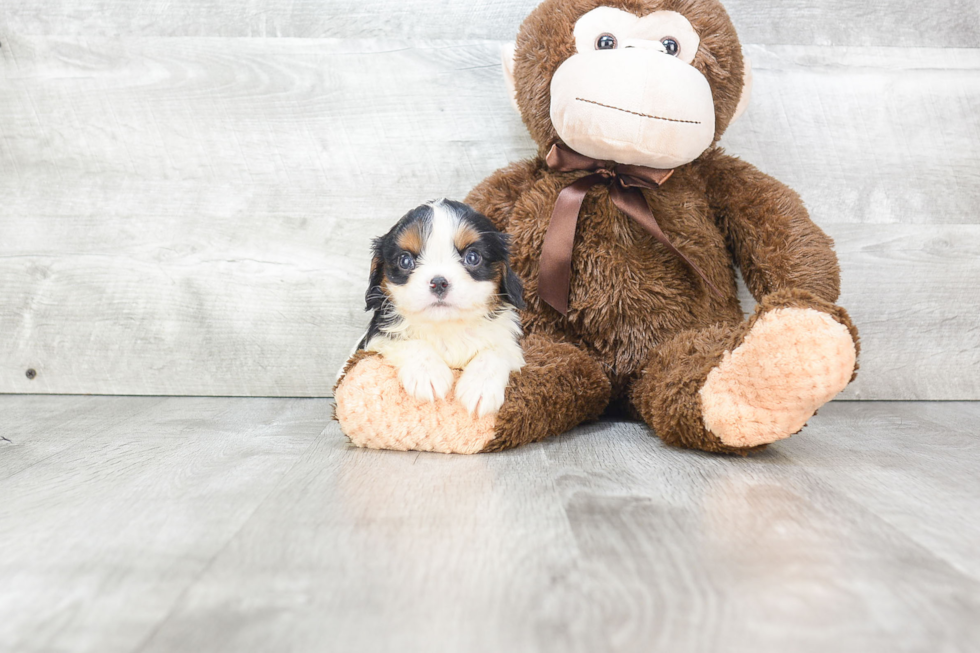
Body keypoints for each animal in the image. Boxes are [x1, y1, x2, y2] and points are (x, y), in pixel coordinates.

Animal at [360, 196, 528, 416]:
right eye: (405, 261)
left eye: (473, 257)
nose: (439, 282)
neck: (446, 326)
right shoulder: (376, 340)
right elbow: (408, 342)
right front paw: (427, 373)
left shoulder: (509, 342)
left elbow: (496, 350)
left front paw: (480, 387)